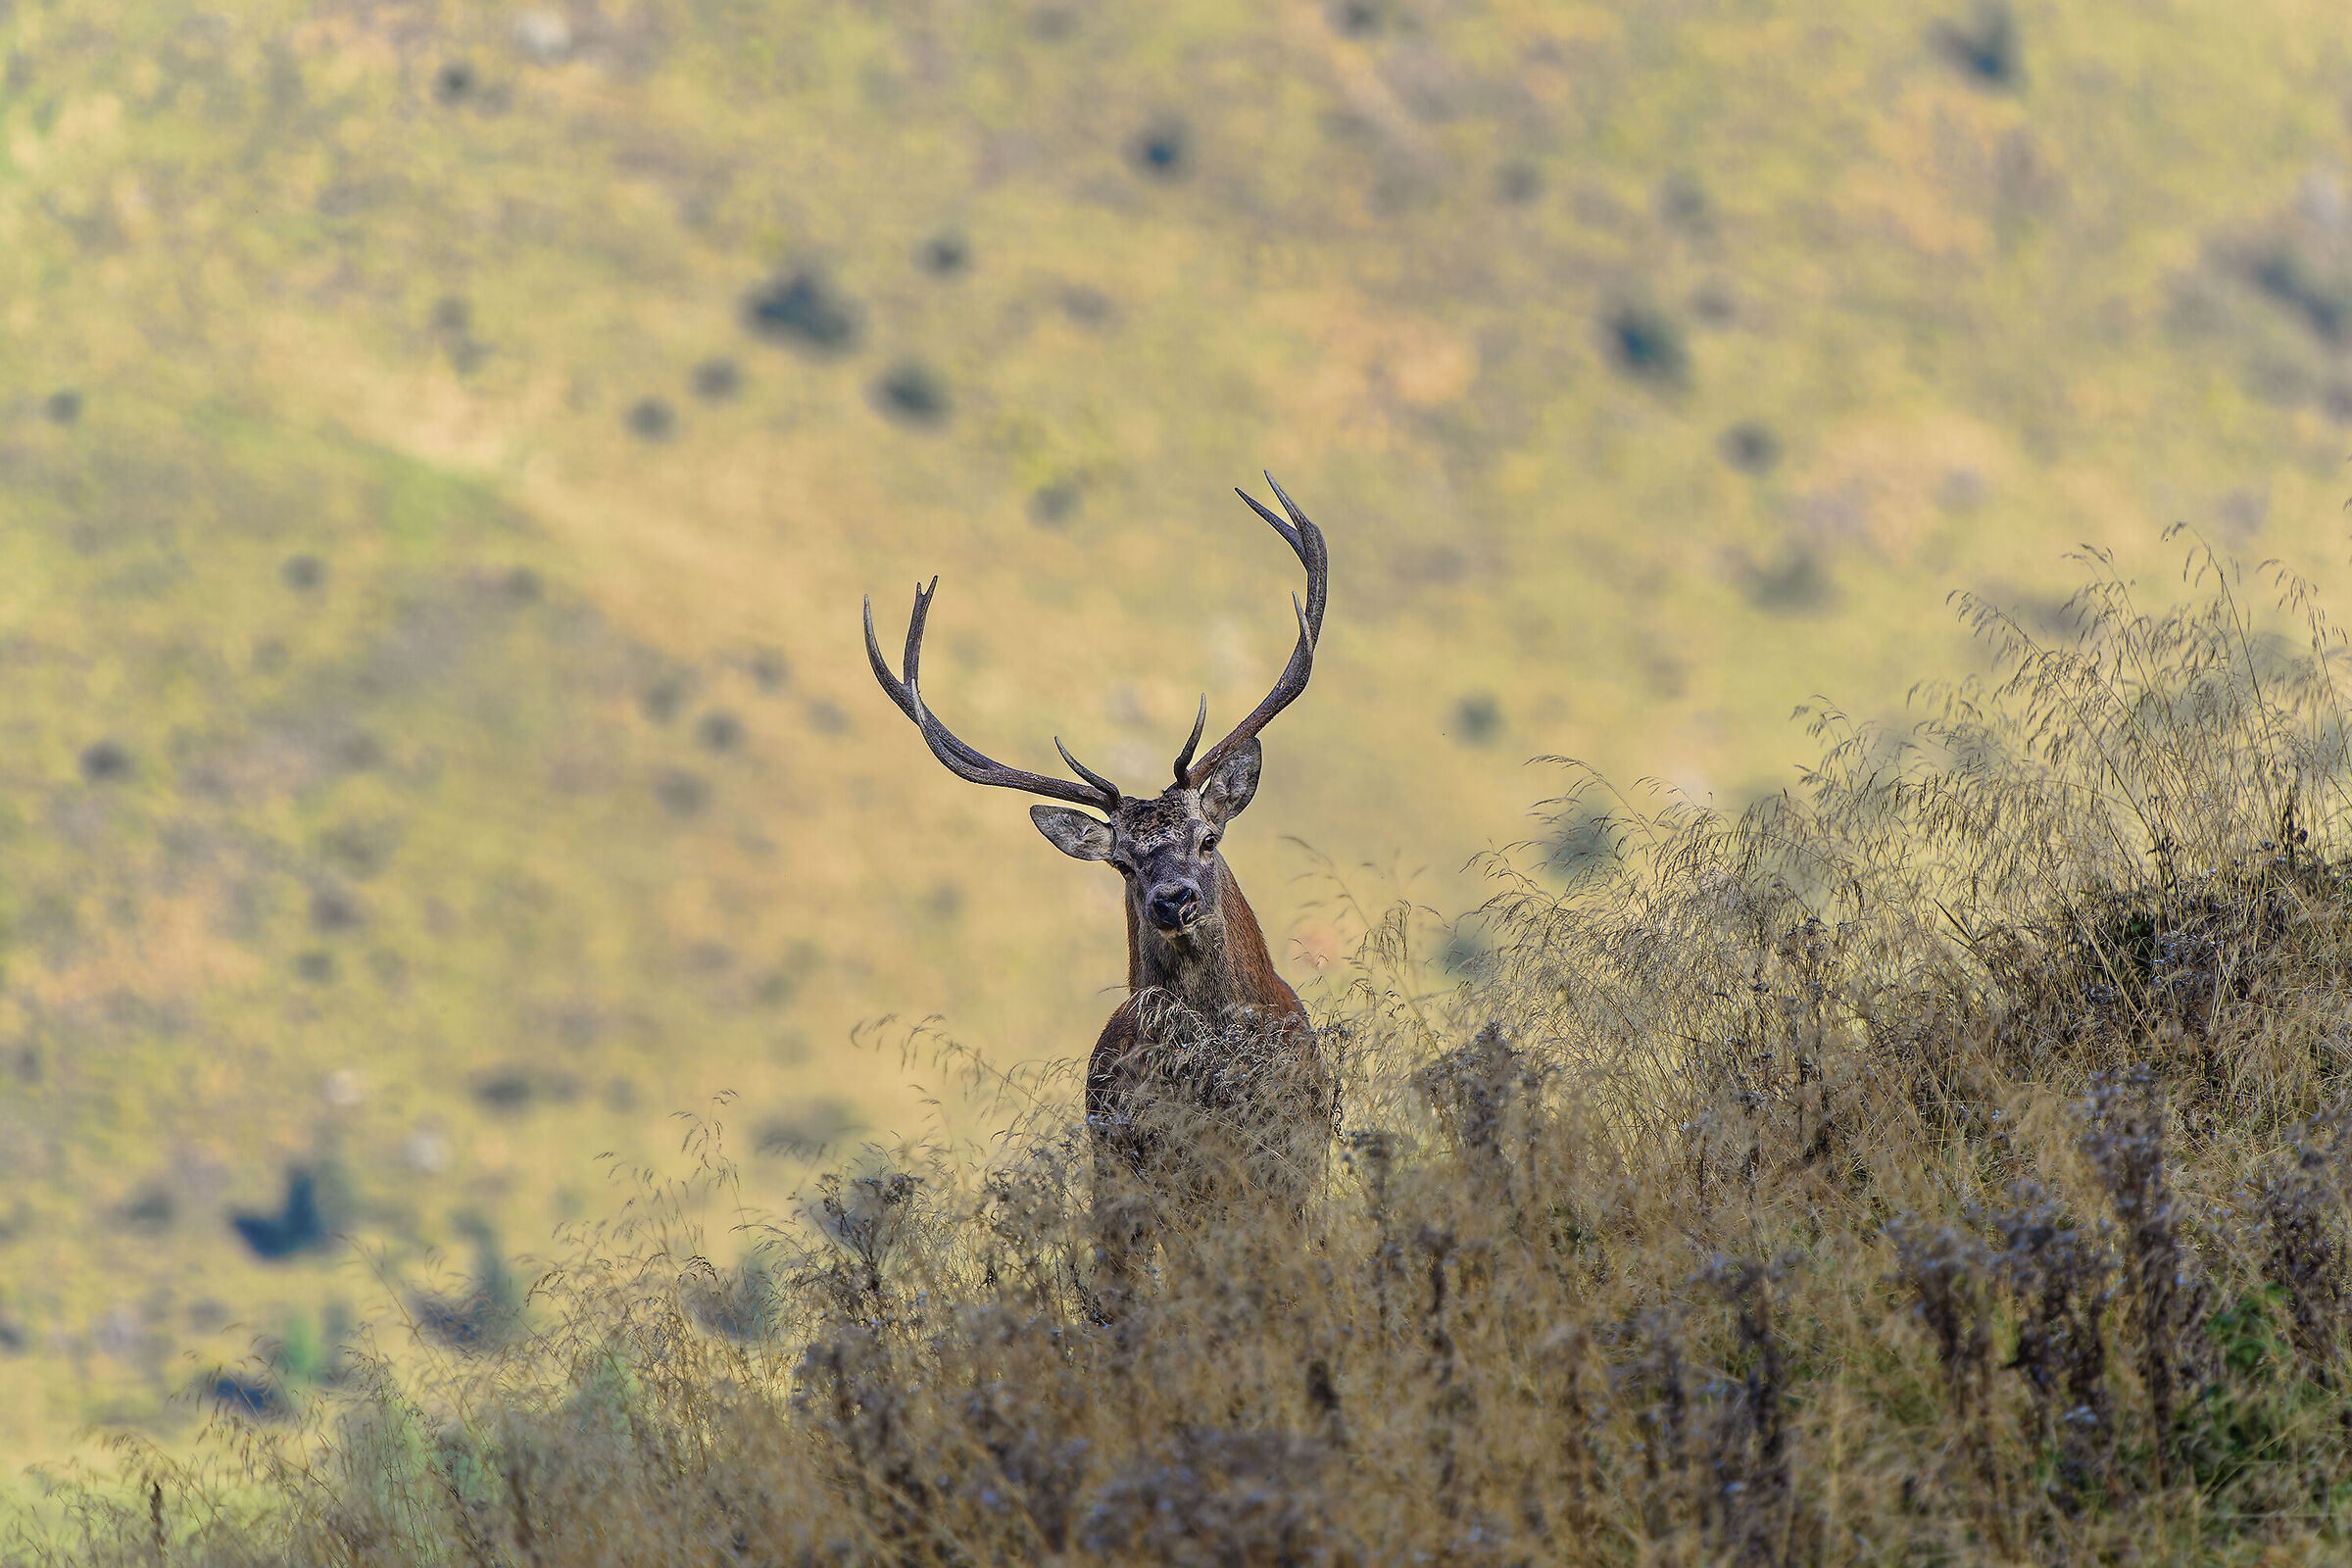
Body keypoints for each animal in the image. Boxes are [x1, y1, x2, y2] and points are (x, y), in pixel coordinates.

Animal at [863, 477, 1334, 1257]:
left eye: (1209, 838)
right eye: (1122, 864)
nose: (1173, 900)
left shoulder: (1294, 1158)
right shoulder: (1155, 1175)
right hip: (1113, 1175)